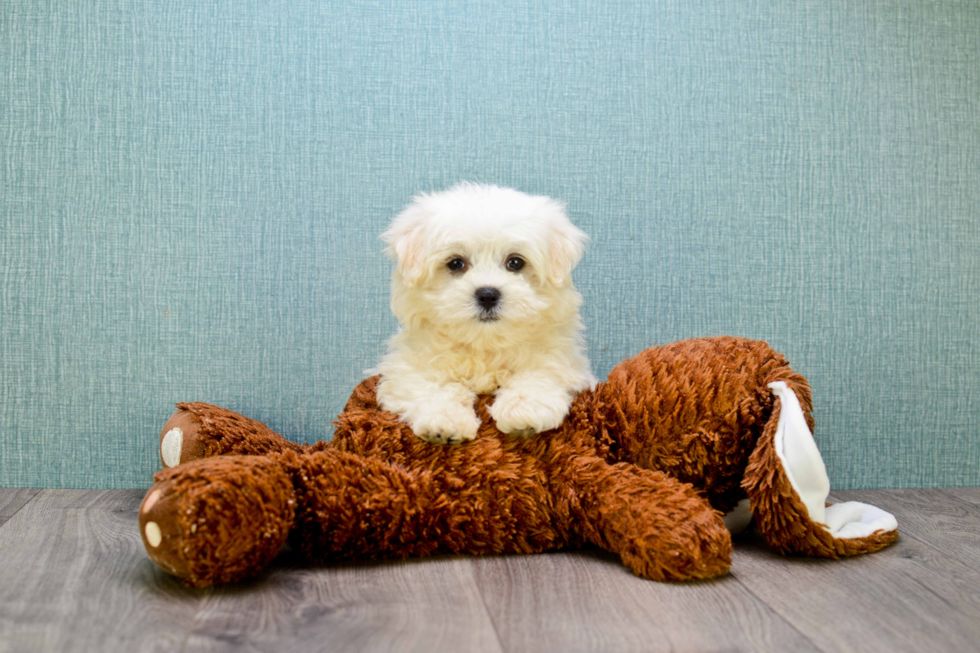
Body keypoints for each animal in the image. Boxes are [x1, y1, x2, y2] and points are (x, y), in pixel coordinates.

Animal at [374, 182, 588, 444]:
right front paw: (444, 421)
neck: (484, 344)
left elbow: (539, 374)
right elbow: (430, 387)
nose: (487, 294)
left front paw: (523, 410)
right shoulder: (408, 367)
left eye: (515, 262)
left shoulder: (561, 360)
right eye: (456, 263)